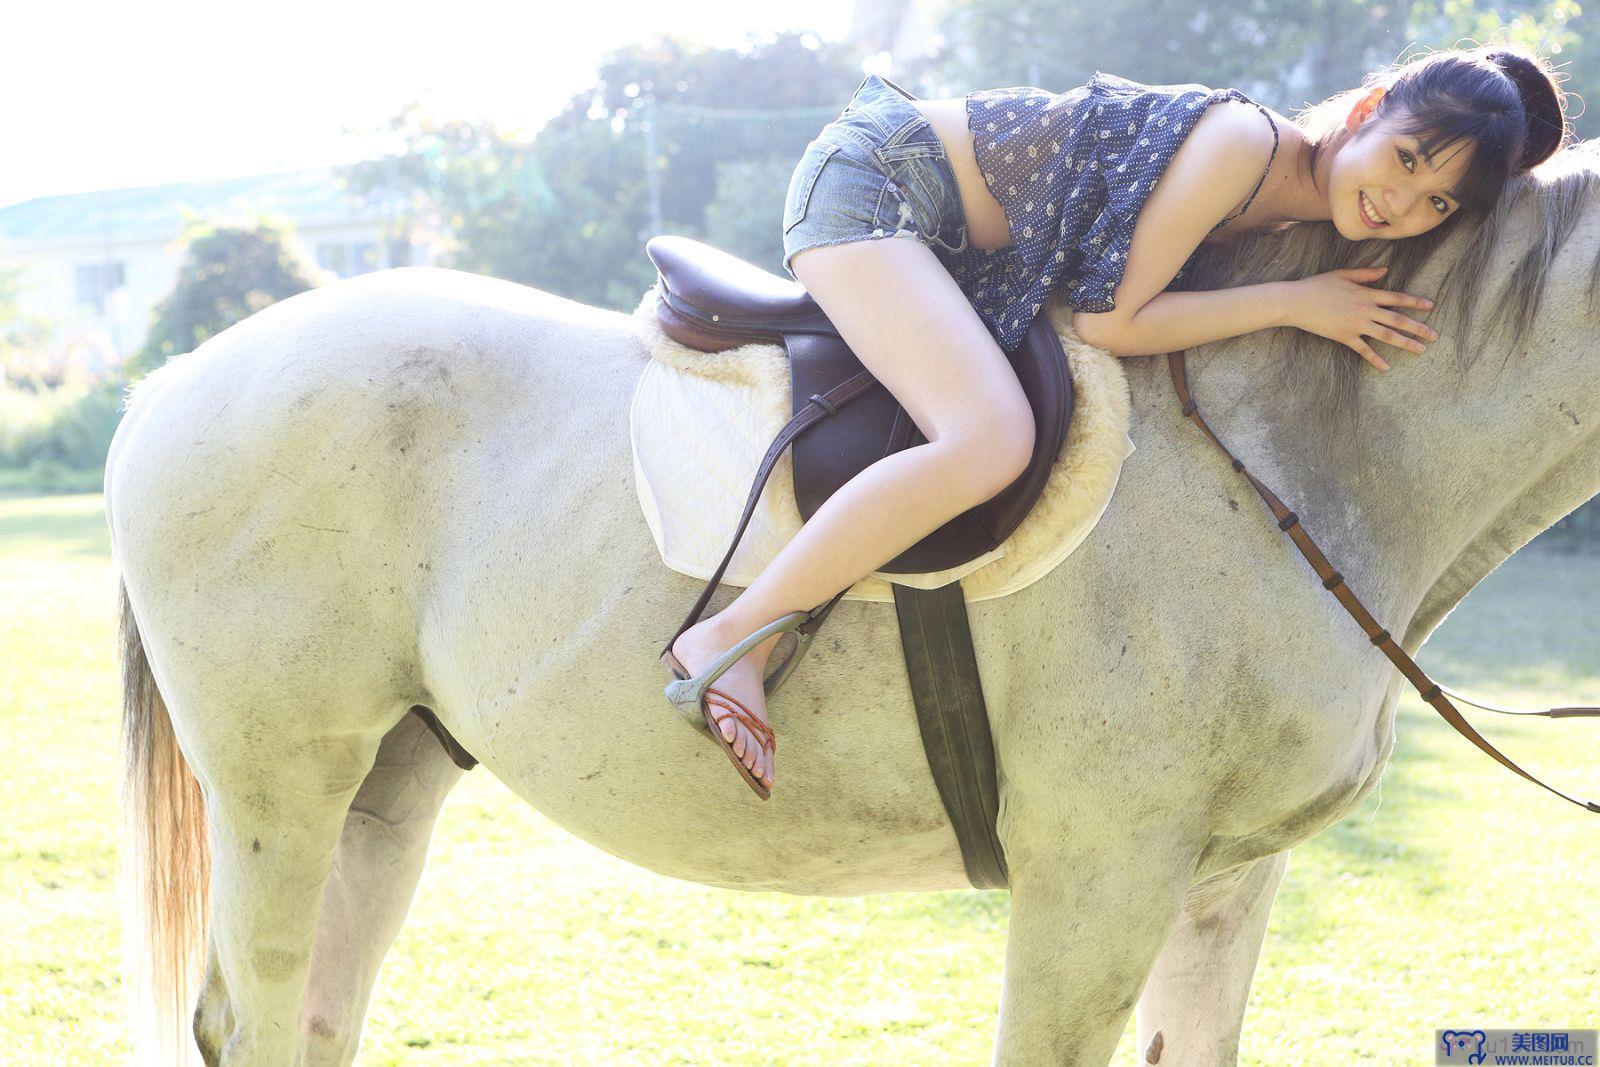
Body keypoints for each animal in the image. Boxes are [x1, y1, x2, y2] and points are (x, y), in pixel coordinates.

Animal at [109, 147, 1600, 1062]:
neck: (1283, 449)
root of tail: (172, 381)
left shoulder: (1225, 877)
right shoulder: (1097, 873)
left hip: (387, 783)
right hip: (278, 791)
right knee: (250, 1017)